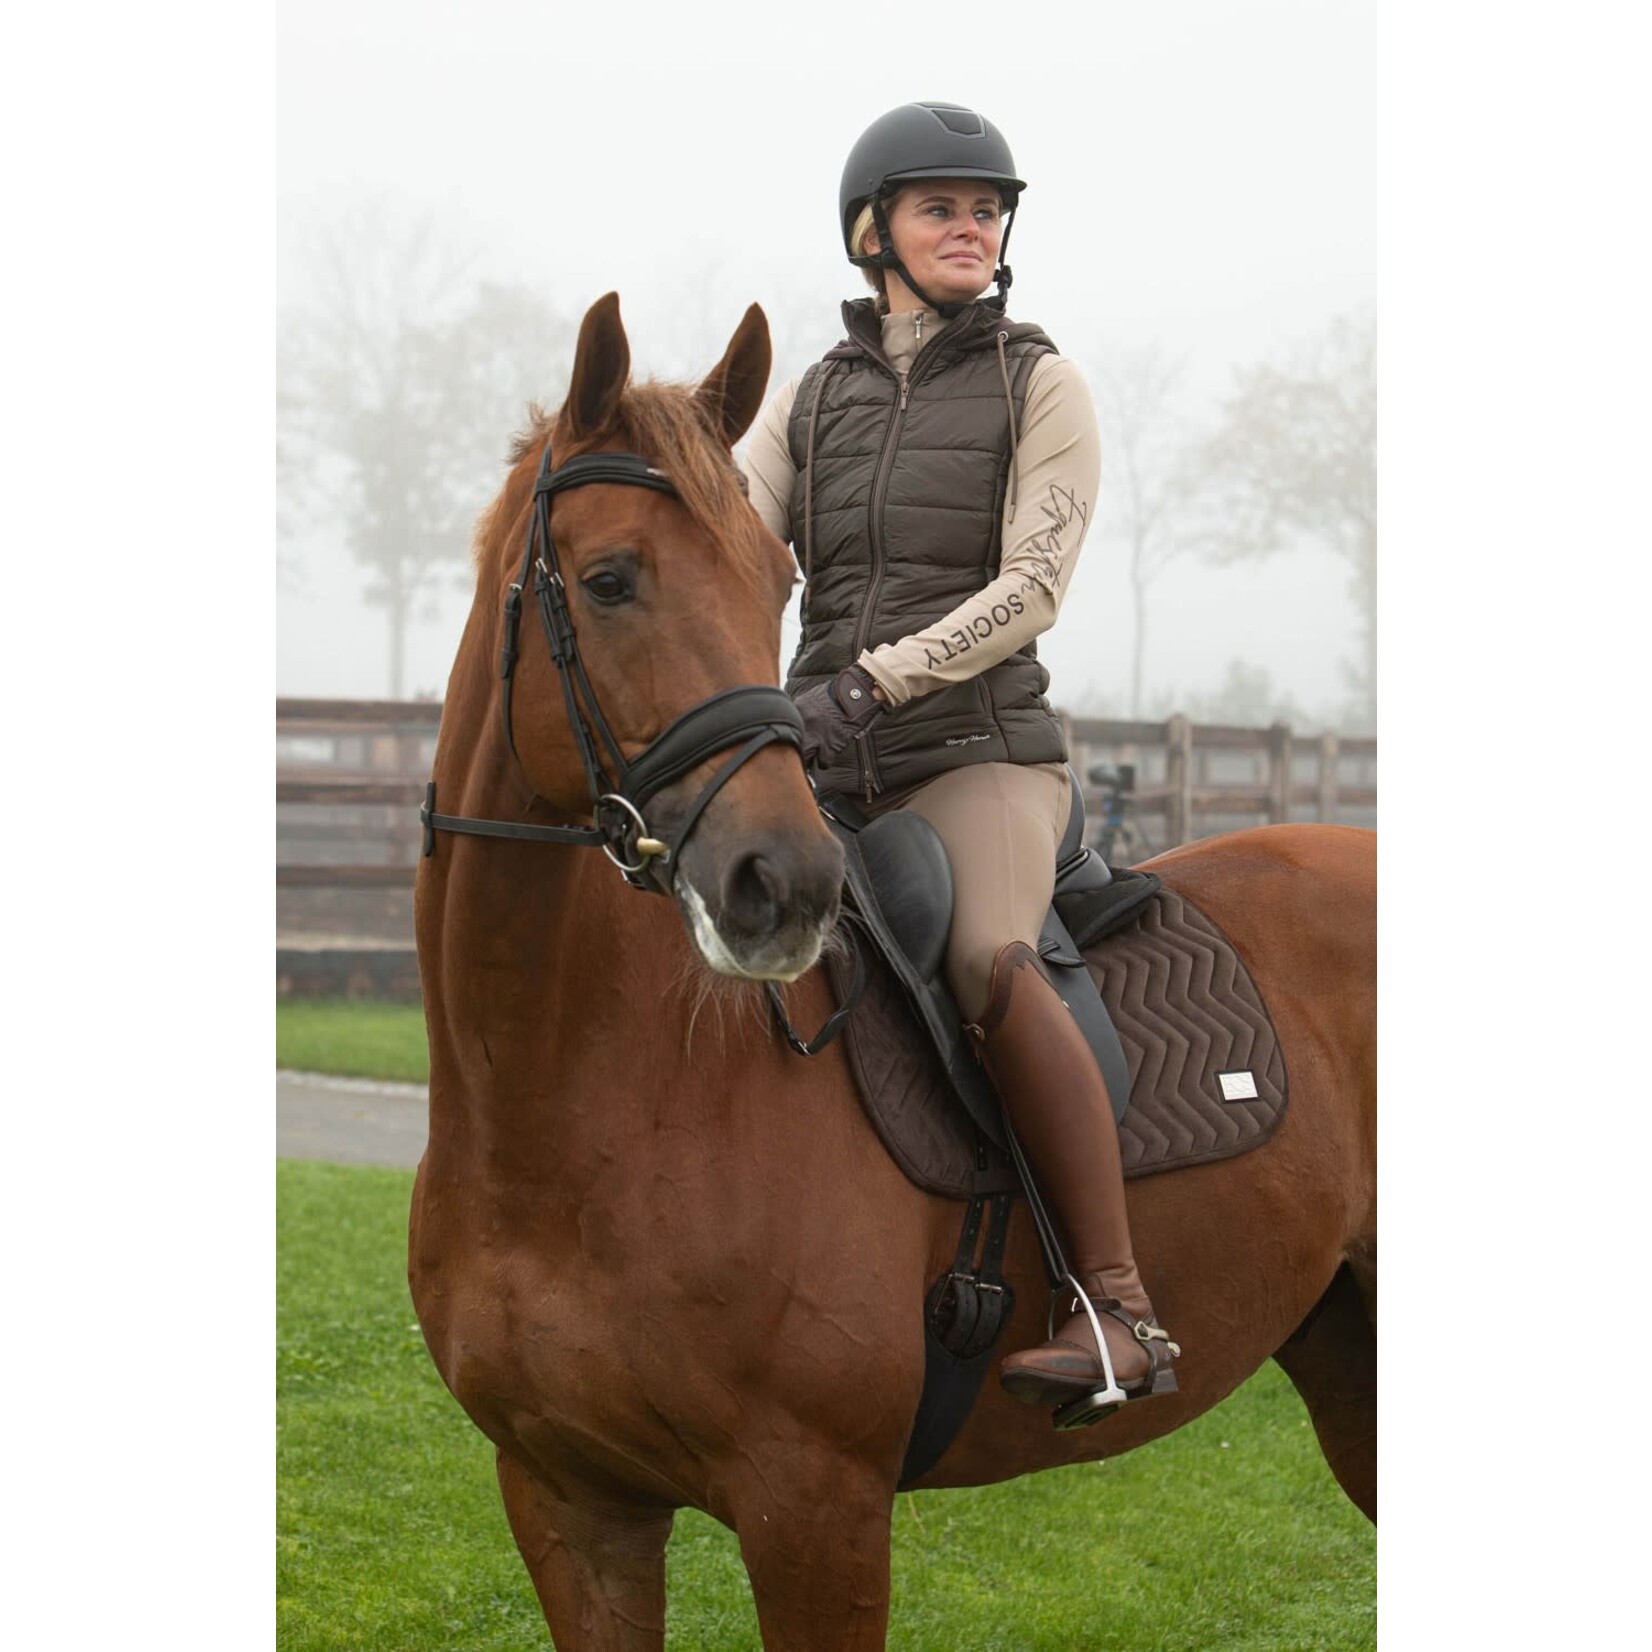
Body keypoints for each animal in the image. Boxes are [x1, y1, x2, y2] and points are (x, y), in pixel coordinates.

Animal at [410, 291, 1377, 1651]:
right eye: (608, 580)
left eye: (772, 580)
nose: (787, 883)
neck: (578, 1106)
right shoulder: (566, 1498)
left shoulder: (815, 1503)